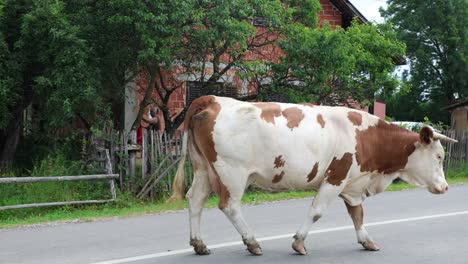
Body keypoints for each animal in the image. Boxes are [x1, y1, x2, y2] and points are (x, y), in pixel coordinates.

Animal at [169, 95, 458, 256]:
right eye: (439, 156)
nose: (445, 187)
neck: (367, 137)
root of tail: (214, 99)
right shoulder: (336, 176)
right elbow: (317, 211)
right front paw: (298, 243)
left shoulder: (353, 183)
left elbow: (357, 214)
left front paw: (367, 241)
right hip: (232, 173)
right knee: (229, 206)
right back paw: (252, 243)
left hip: (203, 168)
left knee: (195, 200)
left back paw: (199, 244)